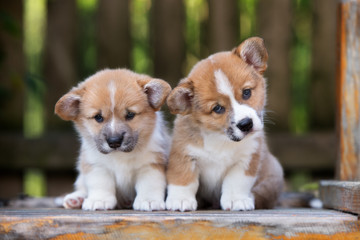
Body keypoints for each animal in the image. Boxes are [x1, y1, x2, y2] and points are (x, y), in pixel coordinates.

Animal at [54, 68, 172, 211]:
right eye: (98, 117)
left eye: (130, 114)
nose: (114, 141)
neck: (120, 155)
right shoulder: (96, 165)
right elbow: (100, 184)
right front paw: (99, 200)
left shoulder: (151, 163)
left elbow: (149, 185)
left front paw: (148, 200)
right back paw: (76, 199)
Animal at [165, 36, 284, 211]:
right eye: (218, 108)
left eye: (246, 92)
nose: (246, 124)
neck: (220, 137)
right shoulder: (183, 154)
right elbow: (183, 178)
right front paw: (180, 200)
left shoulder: (247, 158)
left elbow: (236, 182)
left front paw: (236, 200)